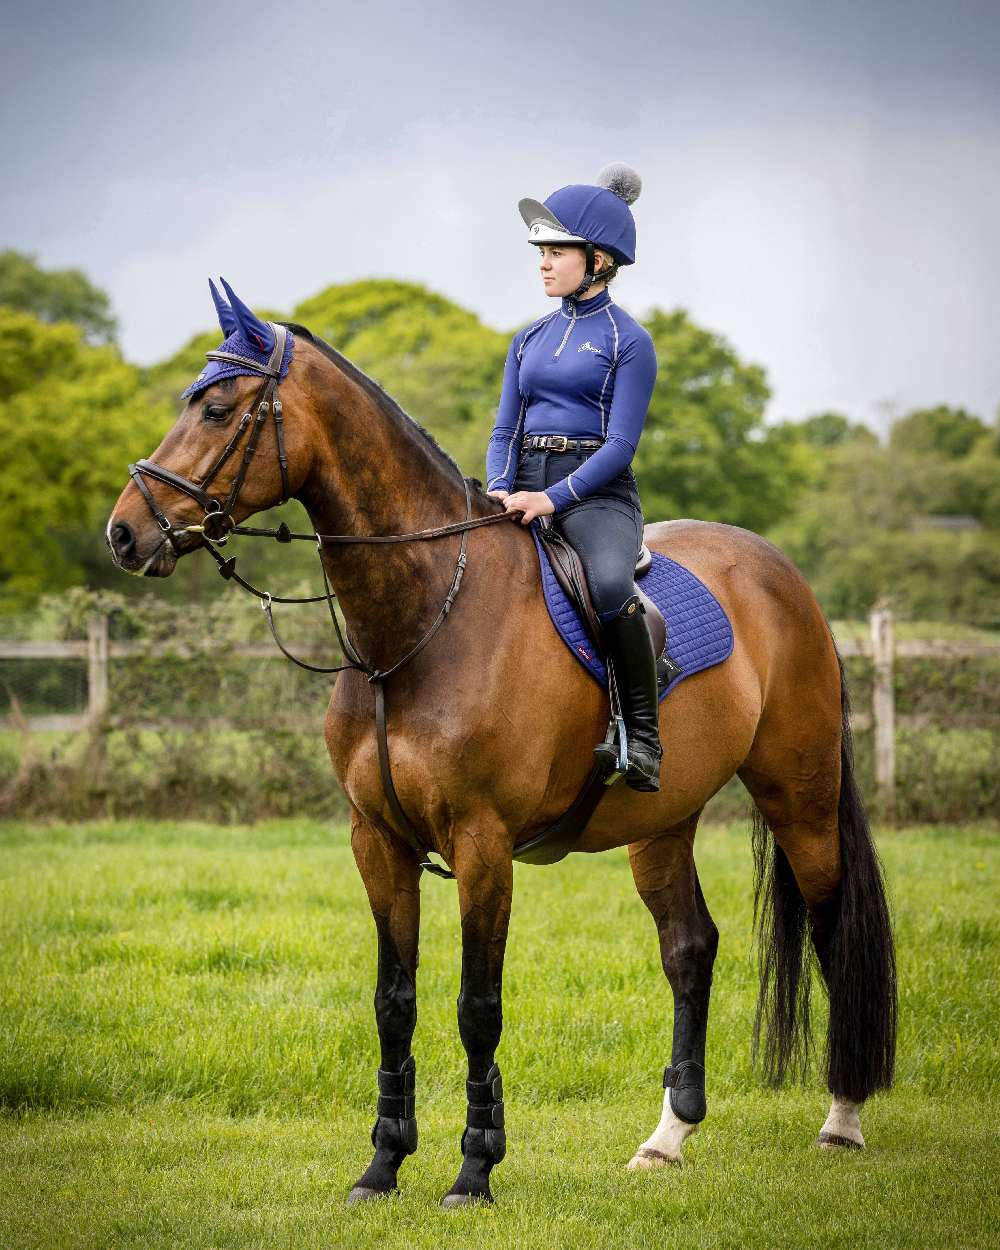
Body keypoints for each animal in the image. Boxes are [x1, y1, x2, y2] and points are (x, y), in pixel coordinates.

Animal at [107, 286, 900, 1210]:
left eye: (218, 409)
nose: (124, 534)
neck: (422, 624)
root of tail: (784, 575)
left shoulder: (482, 845)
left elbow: (476, 1006)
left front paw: (474, 1171)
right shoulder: (377, 843)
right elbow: (394, 1001)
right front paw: (383, 1165)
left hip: (799, 799)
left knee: (833, 933)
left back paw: (842, 1119)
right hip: (661, 823)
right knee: (689, 949)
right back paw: (667, 1138)